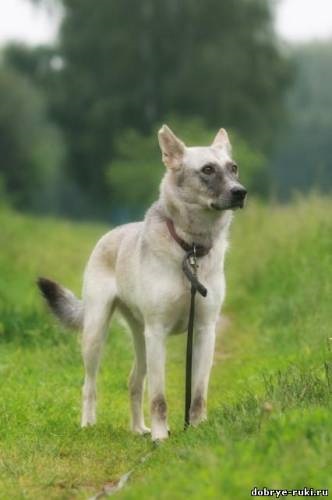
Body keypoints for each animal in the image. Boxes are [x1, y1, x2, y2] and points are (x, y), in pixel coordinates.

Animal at [38, 125, 246, 442]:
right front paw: (160, 437)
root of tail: (113, 233)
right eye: (208, 169)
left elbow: (198, 394)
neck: (190, 249)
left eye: (233, 168)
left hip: (141, 340)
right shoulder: (157, 333)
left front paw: (196, 428)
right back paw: (90, 424)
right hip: (98, 335)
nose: (240, 192)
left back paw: (138, 429)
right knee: (90, 385)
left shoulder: (204, 331)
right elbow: (159, 398)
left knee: (134, 381)